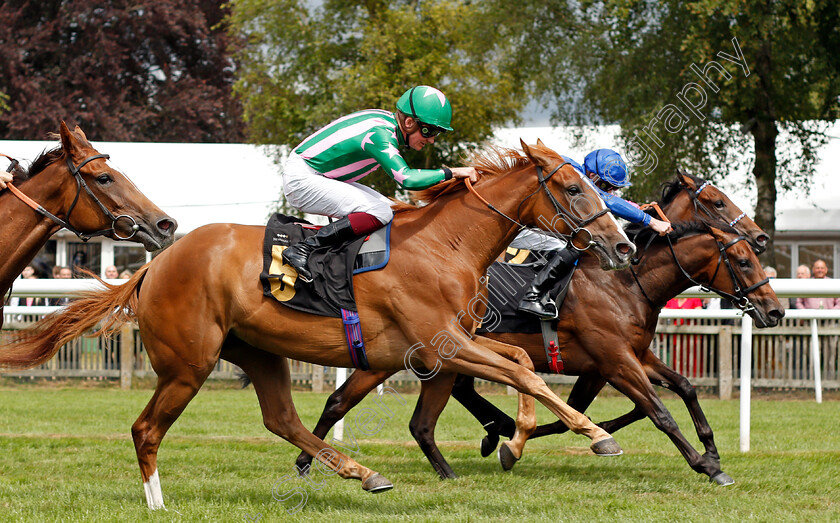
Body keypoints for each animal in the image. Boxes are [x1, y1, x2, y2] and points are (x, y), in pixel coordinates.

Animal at [296, 170, 780, 486]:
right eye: (717, 202)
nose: (774, 311)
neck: (626, 280)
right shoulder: (612, 360)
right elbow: (655, 411)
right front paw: (708, 466)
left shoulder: (628, 357)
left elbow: (682, 387)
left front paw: (711, 450)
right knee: (342, 401)